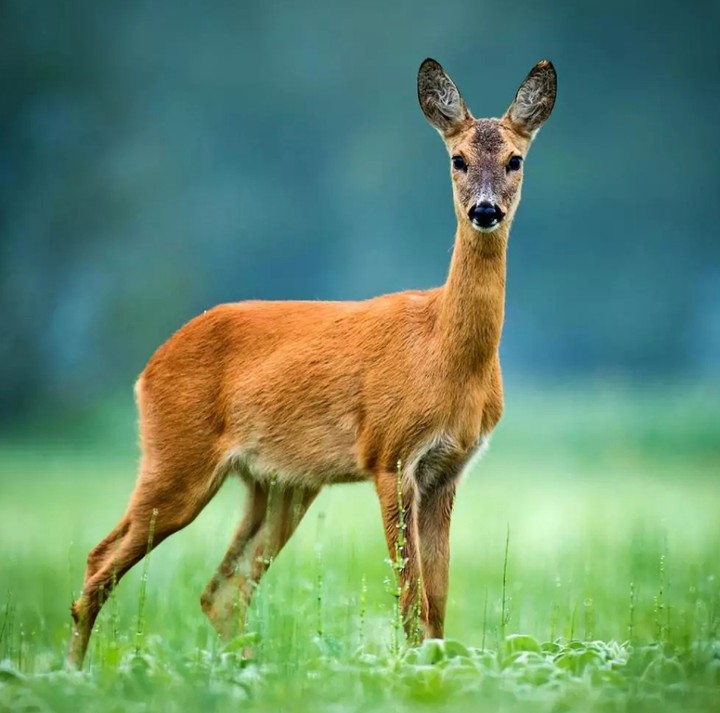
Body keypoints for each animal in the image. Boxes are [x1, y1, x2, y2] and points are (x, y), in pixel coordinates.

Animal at [68, 57, 556, 668]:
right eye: (457, 159)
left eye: (516, 159)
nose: (485, 210)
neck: (445, 354)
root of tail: (148, 368)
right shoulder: (390, 455)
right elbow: (411, 598)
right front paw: (410, 671)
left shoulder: (448, 469)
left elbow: (438, 602)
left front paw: (437, 669)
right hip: (176, 457)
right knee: (100, 563)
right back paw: (73, 673)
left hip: (278, 484)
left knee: (221, 590)